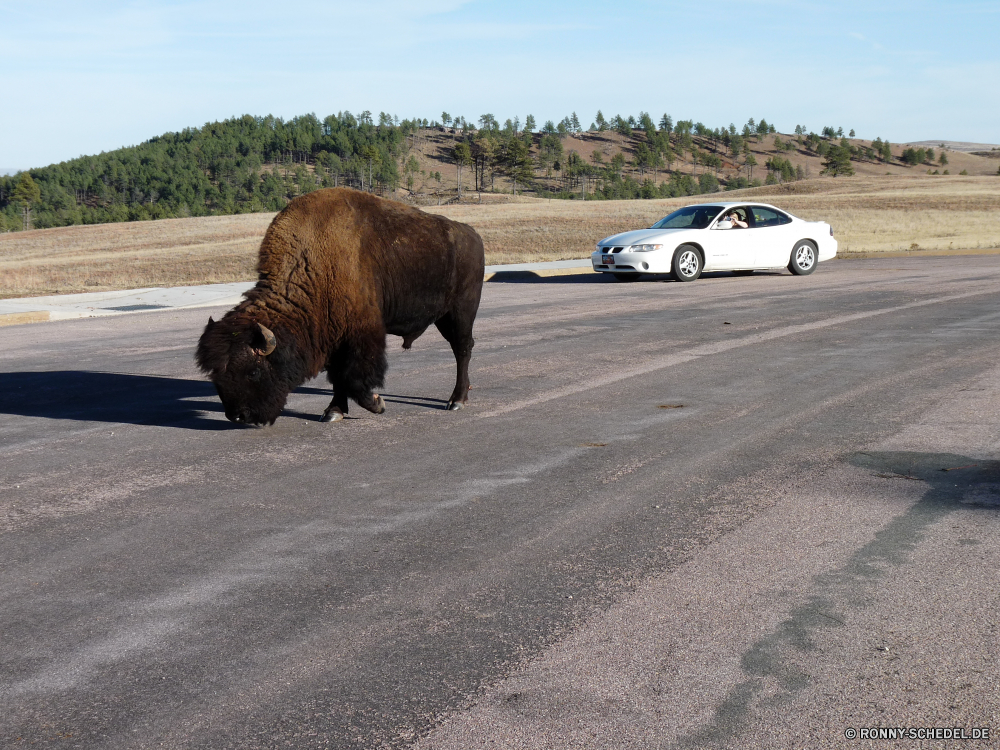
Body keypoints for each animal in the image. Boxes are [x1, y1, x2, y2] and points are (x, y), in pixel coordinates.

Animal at [195, 188, 484, 426]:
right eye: (215, 375)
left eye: (253, 371)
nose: (239, 417)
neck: (314, 264)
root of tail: (472, 235)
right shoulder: (331, 335)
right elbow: (338, 378)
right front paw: (333, 411)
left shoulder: (361, 334)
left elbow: (353, 378)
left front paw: (377, 403)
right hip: (445, 316)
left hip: (460, 312)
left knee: (462, 349)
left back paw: (456, 401)